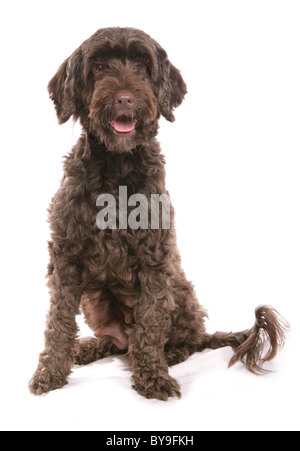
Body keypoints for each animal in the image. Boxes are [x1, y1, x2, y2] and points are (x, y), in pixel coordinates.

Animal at [28, 28, 288, 400]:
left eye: (142, 66)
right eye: (99, 67)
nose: (124, 99)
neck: (116, 170)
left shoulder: (153, 259)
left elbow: (149, 323)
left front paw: (152, 376)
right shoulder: (67, 256)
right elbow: (58, 321)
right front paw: (50, 372)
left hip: (179, 290)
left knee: (182, 338)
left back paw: (170, 353)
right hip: (94, 299)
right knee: (117, 343)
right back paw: (91, 347)